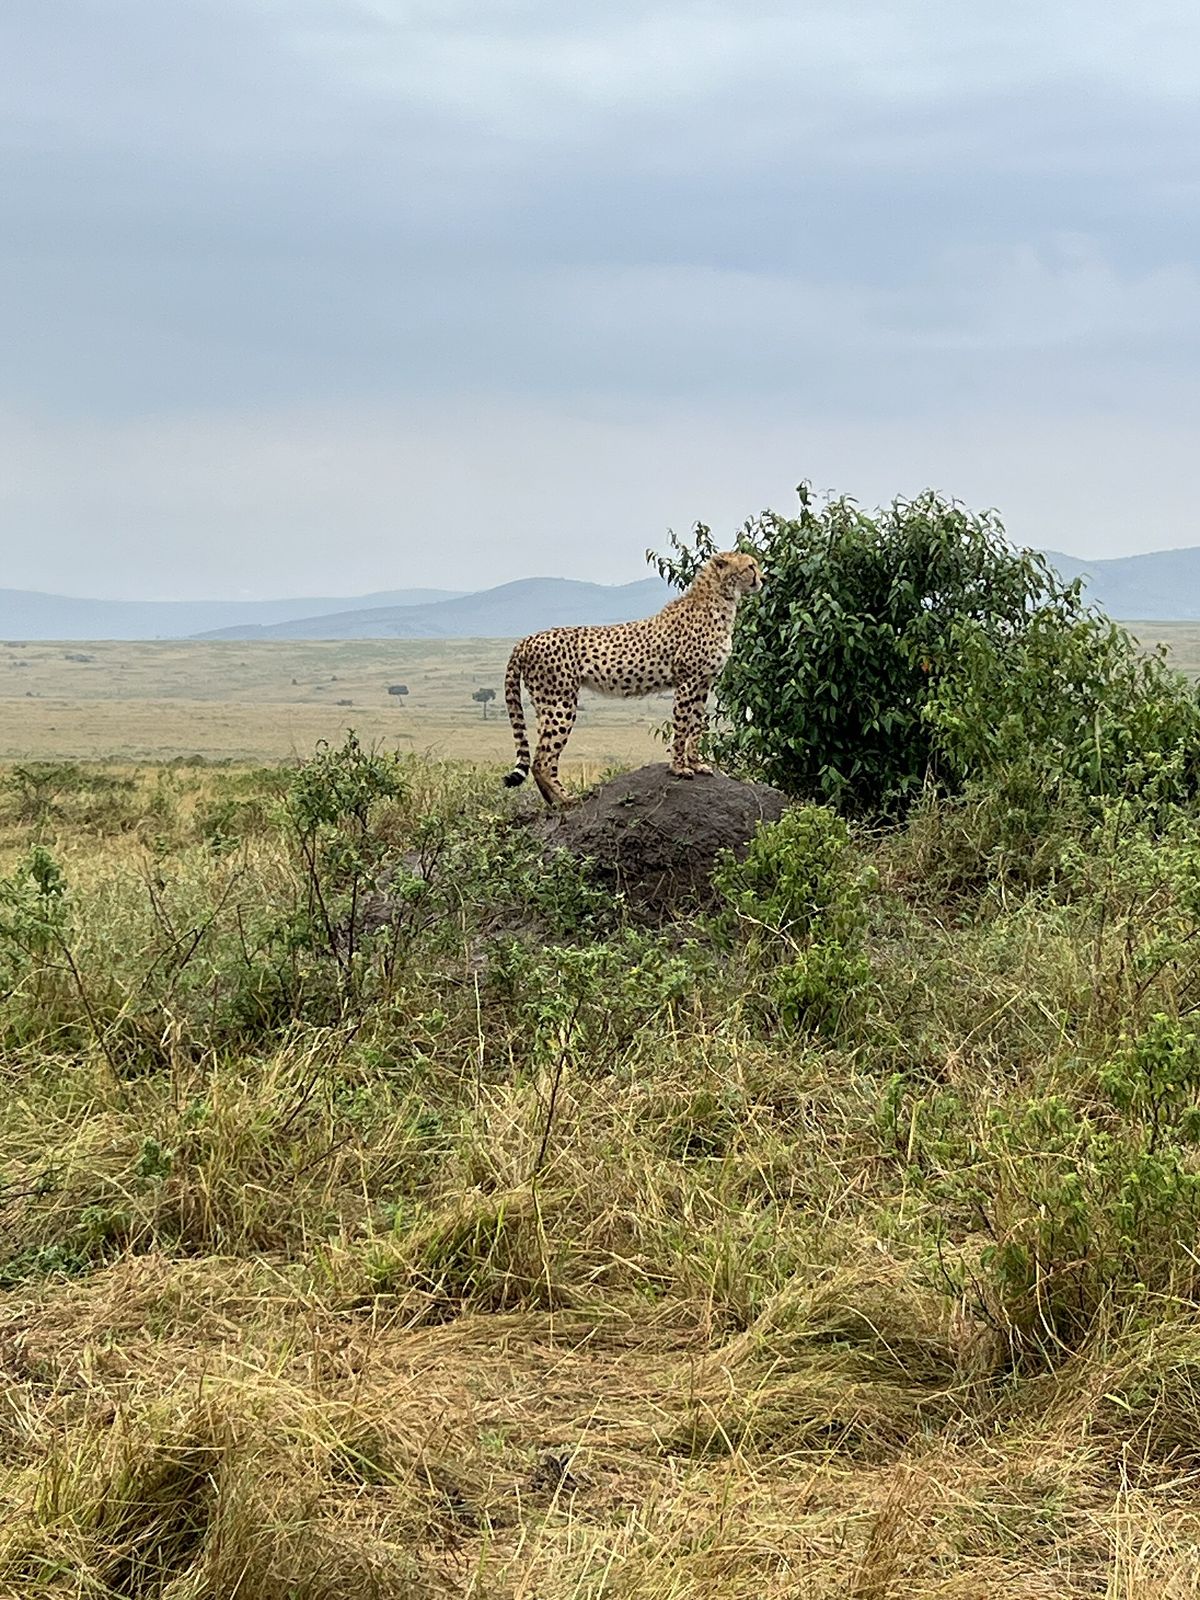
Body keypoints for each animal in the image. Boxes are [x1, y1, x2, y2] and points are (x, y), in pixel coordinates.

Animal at [503, 550, 764, 806]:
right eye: (750, 566)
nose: (763, 578)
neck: (722, 600)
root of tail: (527, 639)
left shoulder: (703, 682)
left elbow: (696, 725)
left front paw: (696, 763)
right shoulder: (687, 681)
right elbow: (682, 726)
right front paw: (679, 768)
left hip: (545, 704)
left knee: (543, 757)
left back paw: (555, 804)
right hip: (560, 702)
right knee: (542, 760)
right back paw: (569, 799)